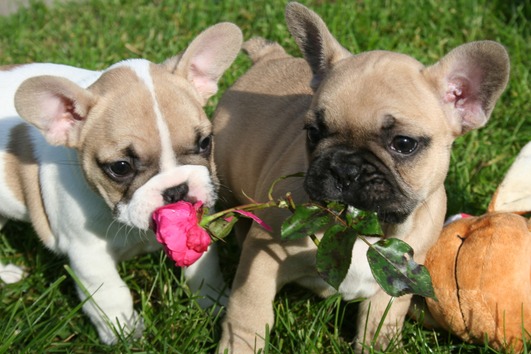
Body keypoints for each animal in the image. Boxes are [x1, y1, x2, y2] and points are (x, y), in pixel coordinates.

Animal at [0, 22, 243, 342]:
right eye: (120, 167)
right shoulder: (88, 254)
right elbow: (112, 295)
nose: (176, 189)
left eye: (205, 143)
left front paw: (214, 303)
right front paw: (125, 332)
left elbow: (205, 270)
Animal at [213, 3, 512, 354]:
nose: (344, 167)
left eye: (404, 144)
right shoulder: (261, 260)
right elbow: (249, 312)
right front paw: (239, 346)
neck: (358, 227)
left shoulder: (395, 282)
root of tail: (270, 57)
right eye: (313, 132)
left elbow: (378, 327)